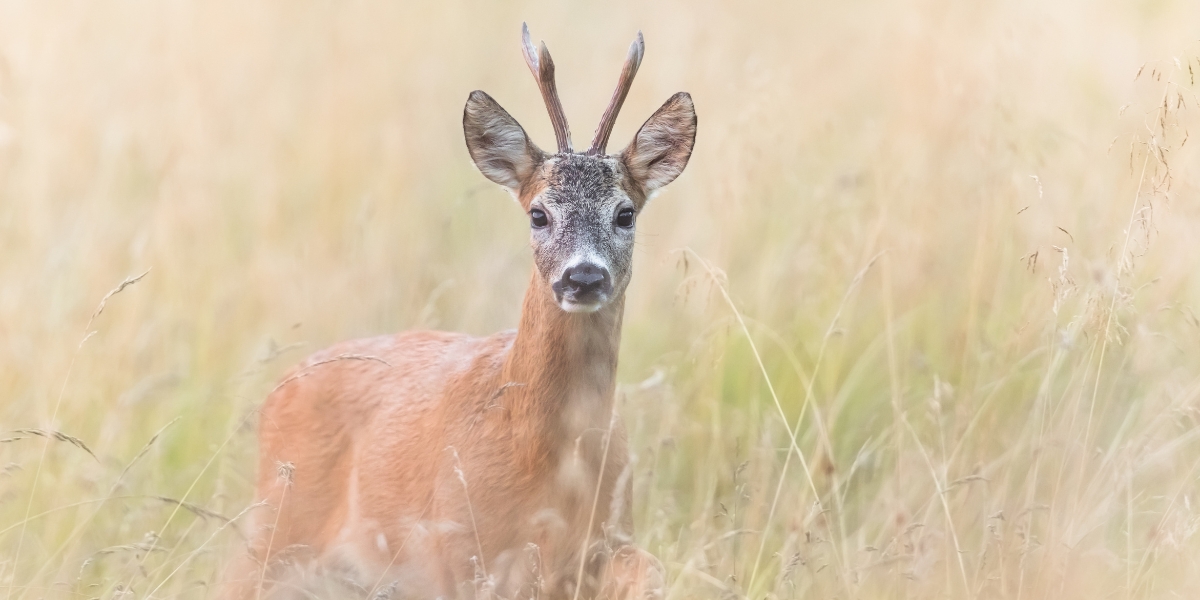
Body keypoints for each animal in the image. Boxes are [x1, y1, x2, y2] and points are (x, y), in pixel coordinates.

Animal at [222, 23, 700, 600]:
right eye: (538, 213)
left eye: (625, 213)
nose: (583, 277)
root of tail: (278, 391)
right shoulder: (455, 550)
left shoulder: (605, 538)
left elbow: (651, 569)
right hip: (276, 529)